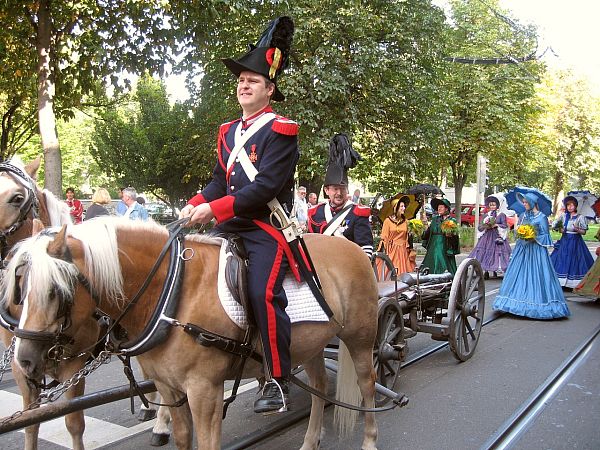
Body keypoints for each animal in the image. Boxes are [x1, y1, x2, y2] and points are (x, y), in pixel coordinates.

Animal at [2, 216, 380, 448]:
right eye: (20, 287)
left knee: (367, 385)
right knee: (319, 387)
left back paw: (369, 439)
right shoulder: (170, 388)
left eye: (56, 291)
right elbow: (183, 437)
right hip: (311, 345)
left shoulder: (204, 393)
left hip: (361, 341)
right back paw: (310, 439)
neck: (172, 292)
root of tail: (354, 248)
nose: (24, 361)